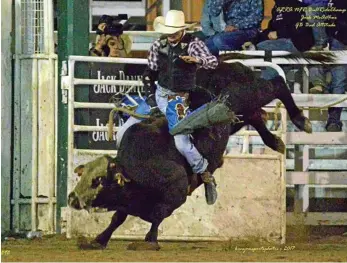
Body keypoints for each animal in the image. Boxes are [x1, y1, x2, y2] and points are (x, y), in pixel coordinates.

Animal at [68, 62, 312, 252]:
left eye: (98, 181)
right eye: (82, 176)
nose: (72, 198)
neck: (140, 168)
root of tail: (228, 65)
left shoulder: (175, 194)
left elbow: (157, 215)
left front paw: (149, 241)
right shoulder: (128, 202)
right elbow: (118, 218)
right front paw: (99, 239)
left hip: (244, 95)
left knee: (276, 84)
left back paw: (301, 119)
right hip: (236, 114)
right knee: (255, 115)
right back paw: (275, 141)